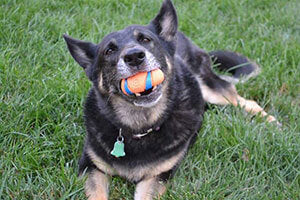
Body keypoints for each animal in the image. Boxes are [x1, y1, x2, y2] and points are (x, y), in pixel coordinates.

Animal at [63, 0, 278, 199]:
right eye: (109, 51)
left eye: (146, 39)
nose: (134, 56)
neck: (140, 127)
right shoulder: (91, 167)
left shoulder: (157, 176)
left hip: (210, 89)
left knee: (243, 100)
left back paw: (271, 122)